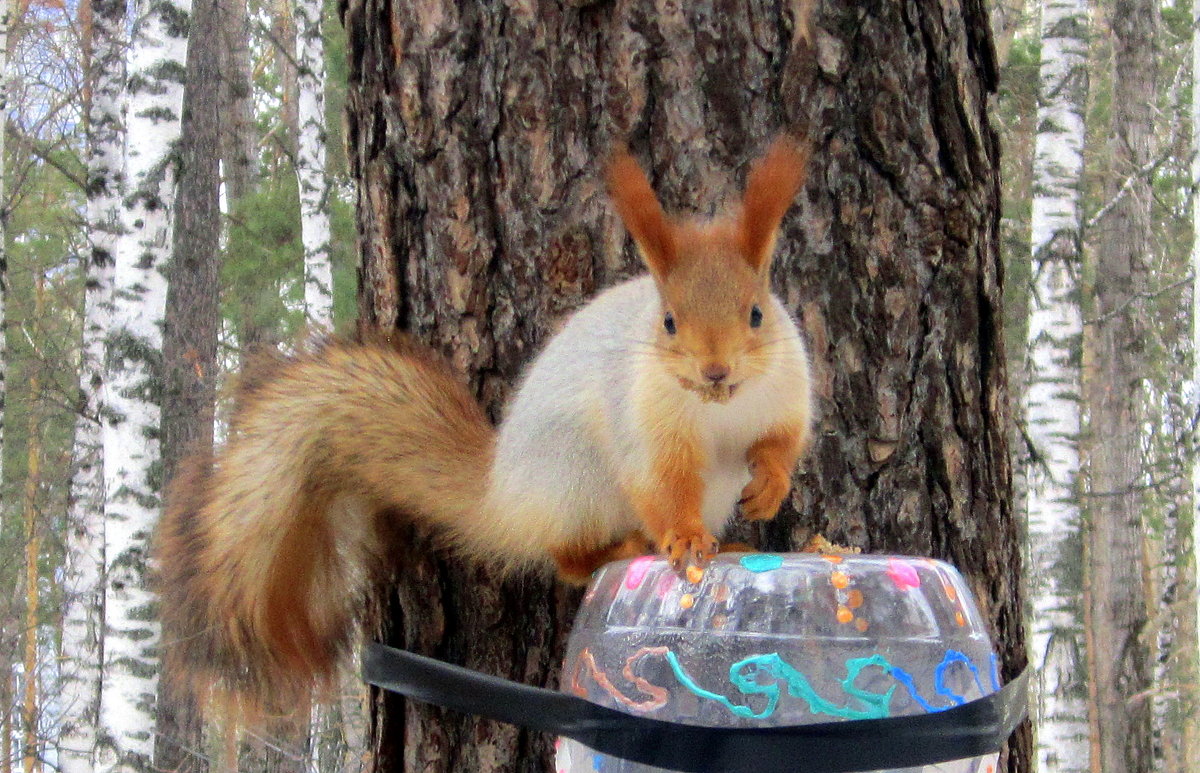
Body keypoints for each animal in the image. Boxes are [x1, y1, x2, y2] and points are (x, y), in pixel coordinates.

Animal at [154, 137, 816, 720]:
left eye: (757, 313)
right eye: (670, 322)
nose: (715, 370)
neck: (719, 408)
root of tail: (503, 497)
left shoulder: (786, 394)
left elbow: (780, 442)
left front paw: (771, 485)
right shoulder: (645, 428)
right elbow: (662, 486)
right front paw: (680, 538)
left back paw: (731, 545)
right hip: (575, 479)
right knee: (570, 559)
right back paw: (632, 546)